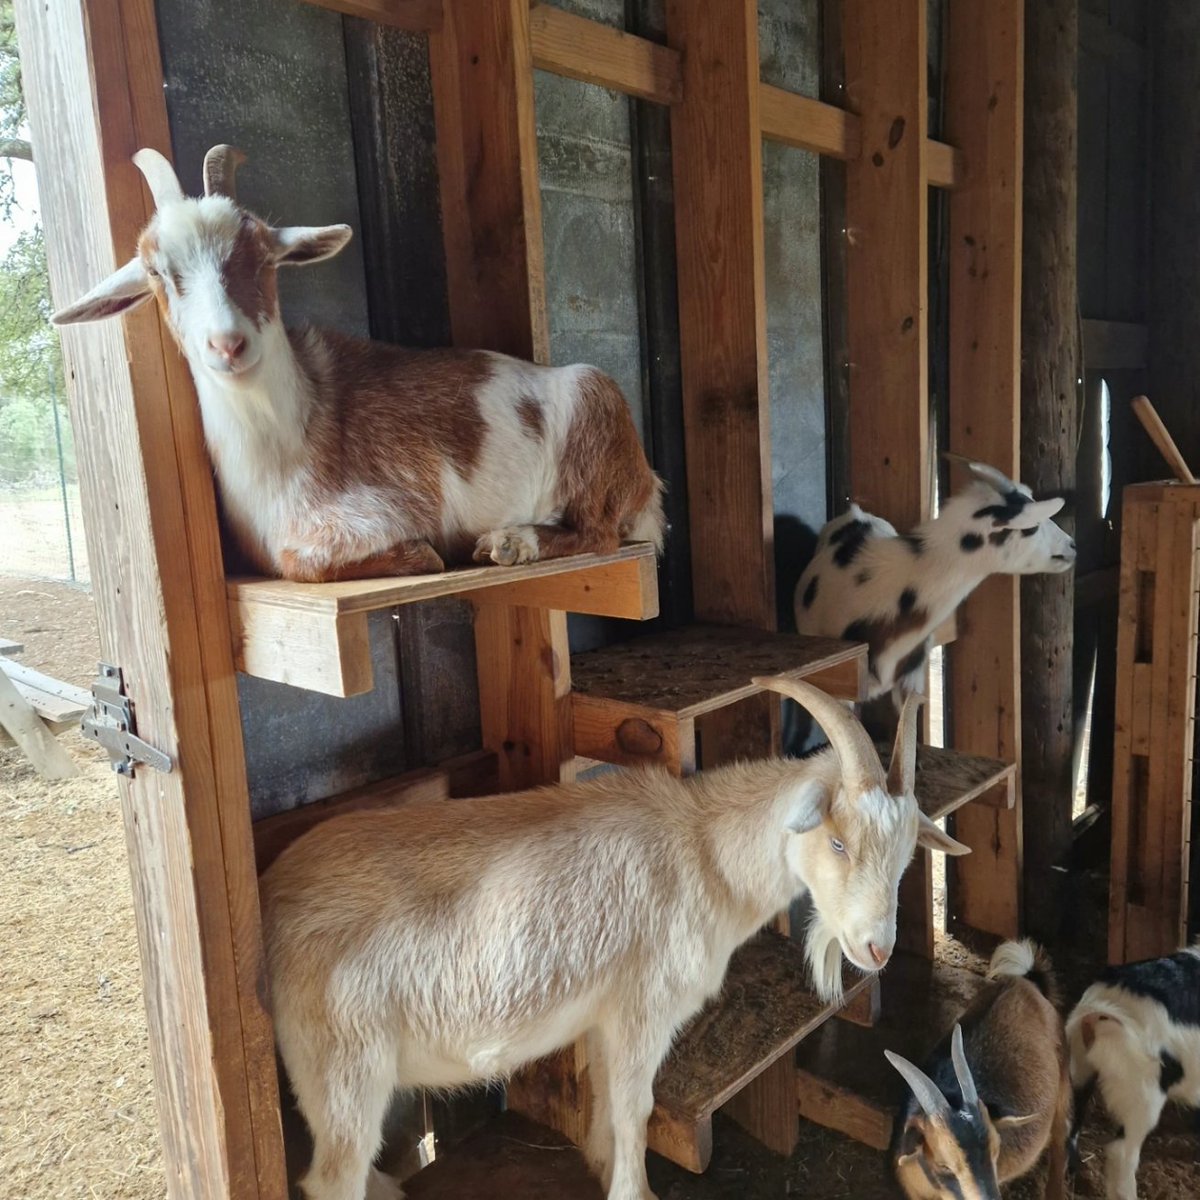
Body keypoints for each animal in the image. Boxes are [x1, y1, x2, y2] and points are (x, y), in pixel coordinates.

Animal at [51, 145, 667, 585]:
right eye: (158, 272)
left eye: (263, 256)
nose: (227, 344)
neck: (289, 440)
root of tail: (647, 484)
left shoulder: (386, 508)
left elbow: (305, 560)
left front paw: (423, 554)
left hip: (593, 414)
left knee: (600, 533)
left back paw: (512, 542)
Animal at [260, 676, 964, 1200]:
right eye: (838, 842)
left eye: (907, 855)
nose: (877, 949)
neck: (701, 851)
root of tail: (272, 899)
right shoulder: (642, 1009)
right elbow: (635, 1108)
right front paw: (636, 1189)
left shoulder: (605, 1015)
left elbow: (606, 1103)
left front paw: (603, 1166)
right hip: (342, 1068)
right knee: (331, 1176)